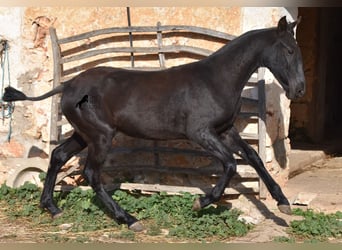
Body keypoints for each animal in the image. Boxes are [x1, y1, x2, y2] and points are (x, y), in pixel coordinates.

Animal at [2, 16, 304, 231]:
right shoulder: (200, 132)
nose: (299, 90)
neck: (216, 79)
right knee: (91, 174)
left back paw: (52, 208)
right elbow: (230, 164)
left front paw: (283, 203)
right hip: (100, 136)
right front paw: (201, 202)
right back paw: (129, 219)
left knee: (58, 155)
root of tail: (68, 85)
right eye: (289, 50)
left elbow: (253, 157)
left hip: (84, 134)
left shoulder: (225, 131)